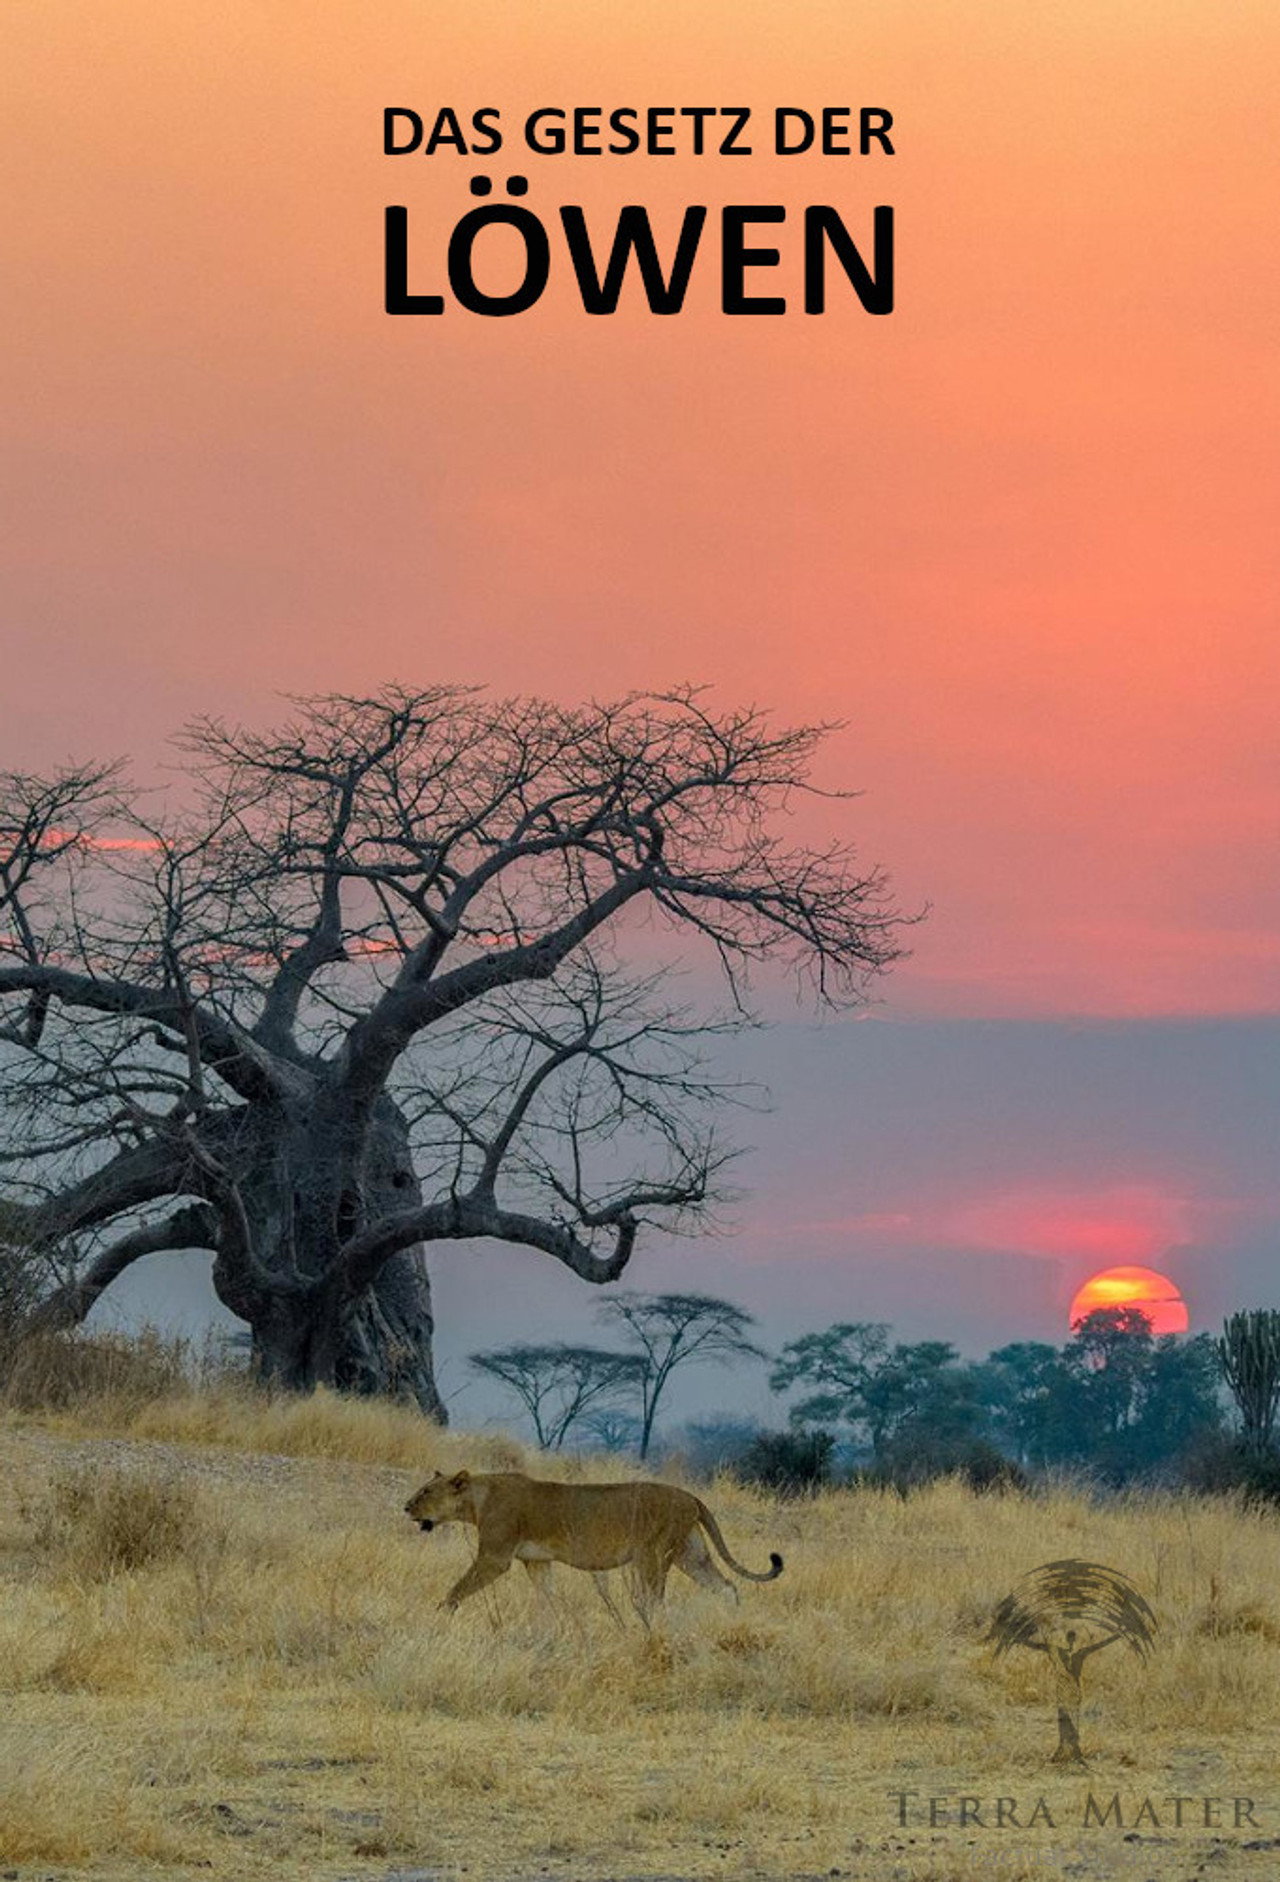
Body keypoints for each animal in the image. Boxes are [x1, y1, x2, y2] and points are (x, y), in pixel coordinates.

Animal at [404, 1469, 783, 1621]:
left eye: (425, 1491)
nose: (406, 1507)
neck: (478, 1499)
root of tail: (691, 1496)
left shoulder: (495, 1557)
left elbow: (458, 1587)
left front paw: (442, 1614)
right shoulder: (537, 1561)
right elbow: (547, 1599)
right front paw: (549, 1629)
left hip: (652, 1554)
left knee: (652, 1602)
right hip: (691, 1554)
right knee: (726, 1586)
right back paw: (730, 1619)